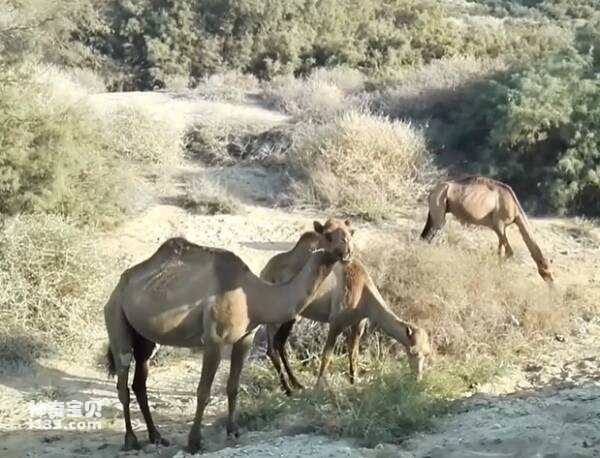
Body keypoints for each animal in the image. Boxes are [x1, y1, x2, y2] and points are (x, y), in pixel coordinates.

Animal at [103, 219, 354, 454]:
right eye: (328, 235)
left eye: (351, 233)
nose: (348, 251)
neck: (255, 296)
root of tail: (117, 288)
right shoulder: (214, 340)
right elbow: (203, 392)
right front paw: (194, 442)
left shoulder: (246, 337)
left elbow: (233, 386)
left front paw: (233, 431)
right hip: (116, 321)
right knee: (123, 382)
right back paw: (131, 440)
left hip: (145, 339)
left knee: (139, 381)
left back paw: (156, 436)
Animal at [260, 227, 428, 396]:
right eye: (413, 352)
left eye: (426, 353)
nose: (418, 378)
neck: (363, 291)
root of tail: (265, 272)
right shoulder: (336, 322)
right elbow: (327, 355)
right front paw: (318, 387)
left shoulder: (359, 322)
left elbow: (353, 352)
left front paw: (354, 382)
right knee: (273, 347)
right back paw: (288, 389)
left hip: (289, 316)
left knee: (278, 344)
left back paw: (296, 384)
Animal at [420, 175, 556, 282]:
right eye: (546, 271)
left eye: (551, 270)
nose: (552, 284)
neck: (515, 210)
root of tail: (432, 192)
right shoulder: (499, 224)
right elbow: (509, 252)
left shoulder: (500, 228)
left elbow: (499, 250)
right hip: (439, 206)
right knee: (431, 234)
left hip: (435, 212)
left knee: (425, 235)